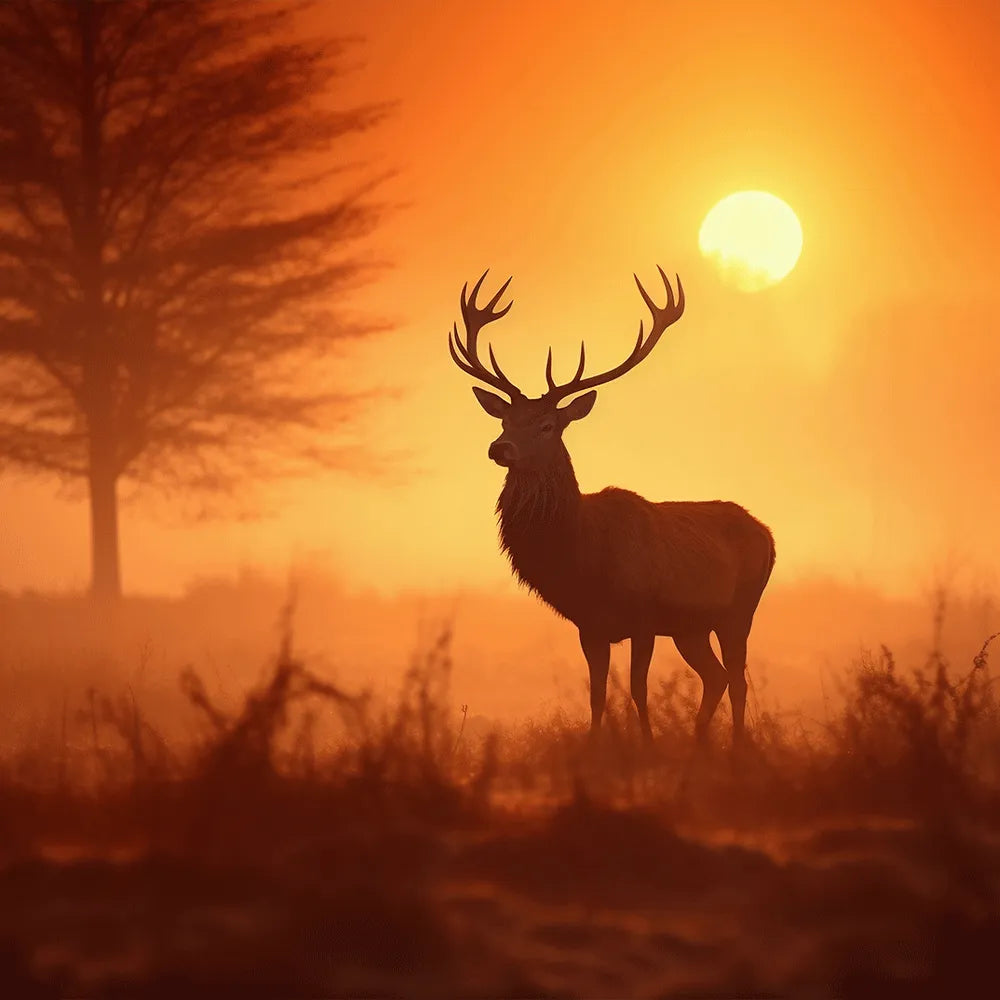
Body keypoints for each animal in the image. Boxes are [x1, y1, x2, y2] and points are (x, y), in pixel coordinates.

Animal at [450, 268, 776, 752]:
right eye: (505, 420)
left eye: (547, 424)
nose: (499, 448)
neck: (584, 554)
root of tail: (768, 535)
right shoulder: (590, 624)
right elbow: (598, 693)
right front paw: (594, 746)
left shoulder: (643, 616)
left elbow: (638, 688)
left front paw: (648, 746)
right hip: (690, 627)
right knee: (715, 677)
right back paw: (698, 742)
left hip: (740, 609)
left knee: (737, 679)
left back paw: (734, 749)